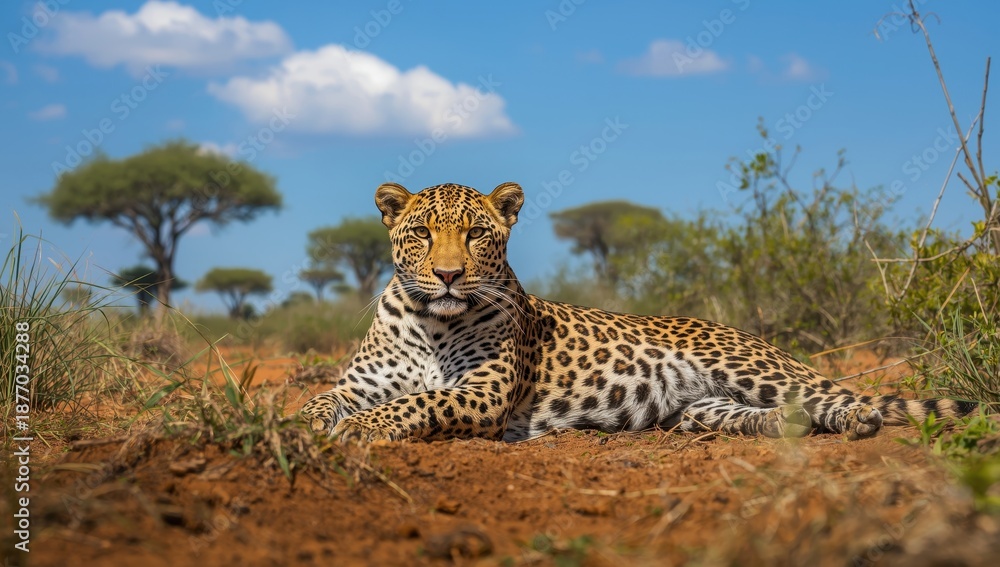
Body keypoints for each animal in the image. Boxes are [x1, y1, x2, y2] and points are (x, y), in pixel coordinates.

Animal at [300, 181, 977, 443]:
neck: (432, 323)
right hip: (703, 407)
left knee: (843, 396)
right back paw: (788, 427)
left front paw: (362, 429)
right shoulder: (356, 384)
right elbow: (318, 401)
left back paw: (859, 419)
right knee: (771, 414)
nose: (447, 275)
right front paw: (299, 427)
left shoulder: (483, 390)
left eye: (475, 236)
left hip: (758, 368)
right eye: (420, 233)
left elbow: (416, 402)